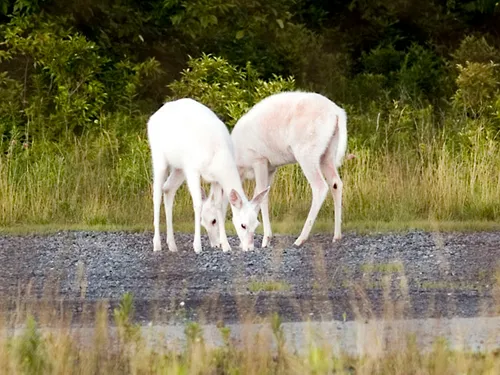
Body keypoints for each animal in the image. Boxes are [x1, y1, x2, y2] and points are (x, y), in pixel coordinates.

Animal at [146, 98, 268, 254]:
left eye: (257, 224)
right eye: (243, 225)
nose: (249, 248)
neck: (218, 154)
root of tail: (152, 118)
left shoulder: (215, 179)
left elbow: (219, 206)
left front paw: (226, 246)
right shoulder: (192, 169)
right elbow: (197, 203)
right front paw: (197, 246)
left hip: (179, 168)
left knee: (168, 189)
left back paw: (172, 245)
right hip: (159, 158)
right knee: (156, 195)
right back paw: (157, 244)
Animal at [228, 91, 350, 248]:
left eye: (242, 225)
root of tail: (338, 113)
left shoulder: (259, 159)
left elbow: (263, 196)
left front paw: (266, 239)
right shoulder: (271, 167)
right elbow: (258, 195)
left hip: (307, 152)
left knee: (320, 186)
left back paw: (300, 239)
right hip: (328, 152)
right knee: (336, 183)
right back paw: (337, 235)